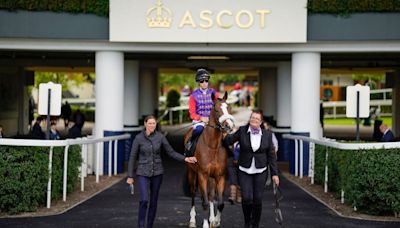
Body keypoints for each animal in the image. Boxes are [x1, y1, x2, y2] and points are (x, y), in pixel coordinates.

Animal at [184, 91, 234, 227]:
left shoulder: (220, 176)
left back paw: (211, 218)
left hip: (211, 177)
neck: (213, 146)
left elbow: (220, 203)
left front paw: (215, 221)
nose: (229, 126)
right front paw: (206, 224)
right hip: (192, 173)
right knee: (193, 193)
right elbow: (205, 202)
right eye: (216, 109)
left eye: (228, 107)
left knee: (211, 195)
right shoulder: (202, 175)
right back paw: (192, 220)